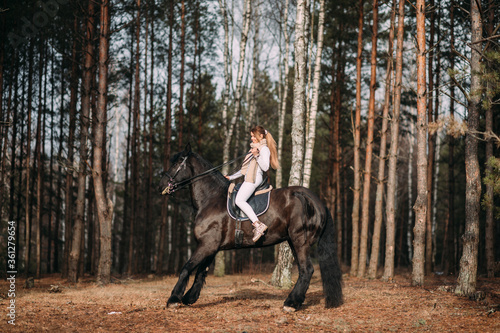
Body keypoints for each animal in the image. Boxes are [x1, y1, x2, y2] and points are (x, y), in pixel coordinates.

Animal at [158, 144, 342, 310]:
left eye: (178, 162)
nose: (162, 184)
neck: (211, 199)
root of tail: (315, 200)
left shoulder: (207, 245)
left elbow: (186, 268)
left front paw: (173, 299)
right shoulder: (211, 247)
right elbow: (200, 272)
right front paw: (189, 297)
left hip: (300, 241)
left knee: (307, 270)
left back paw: (291, 303)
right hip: (292, 241)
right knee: (304, 271)